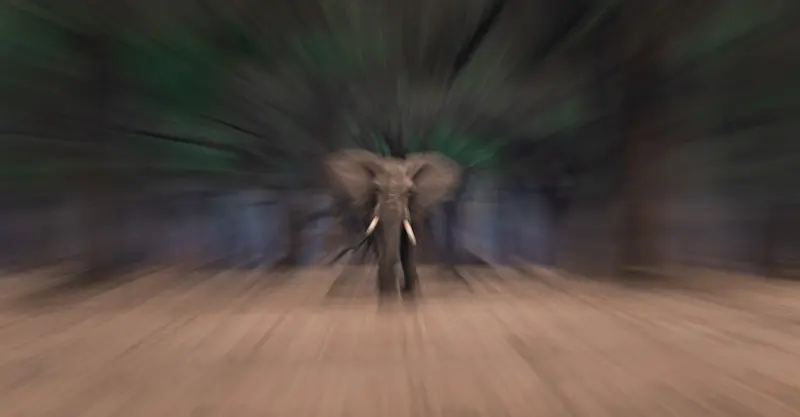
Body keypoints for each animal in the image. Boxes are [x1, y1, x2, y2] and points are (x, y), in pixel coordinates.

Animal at [324, 149, 462, 295]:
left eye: (409, 192)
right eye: (376, 189)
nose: (398, 287)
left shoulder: (415, 207)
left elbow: (409, 241)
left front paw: (410, 292)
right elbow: (381, 238)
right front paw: (387, 291)